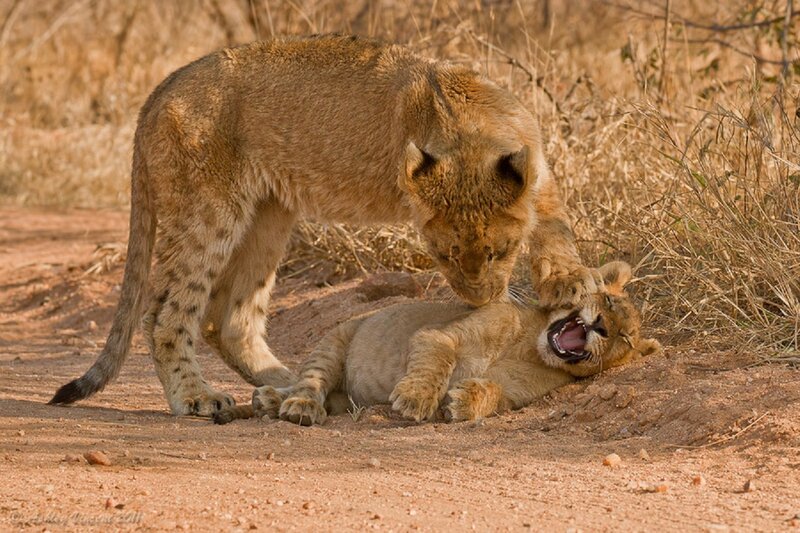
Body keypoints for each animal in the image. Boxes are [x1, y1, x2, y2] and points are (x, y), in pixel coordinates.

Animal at [50, 34, 597, 416]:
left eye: (499, 253)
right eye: (443, 256)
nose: (481, 302)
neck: (468, 131)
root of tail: (163, 87)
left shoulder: (539, 170)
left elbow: (555, 227)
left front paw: (568, 280)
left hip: (268, 215)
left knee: (228, 318)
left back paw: (285, 383)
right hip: (208, 209)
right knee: (167, 313)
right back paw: (199, 397)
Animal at [213, 261, 660, 425]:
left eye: (624, 338)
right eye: (607, 302)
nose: (602, 327)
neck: (530, 346)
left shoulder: (516, 395)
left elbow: (493, 392)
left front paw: (463, 402)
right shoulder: (442, 334)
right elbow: (437, 359)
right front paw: (415, 400)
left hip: (346, 398)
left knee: (328, 398)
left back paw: (269, 401)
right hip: (335, 338)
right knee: (310, 382)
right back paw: (293, 406)